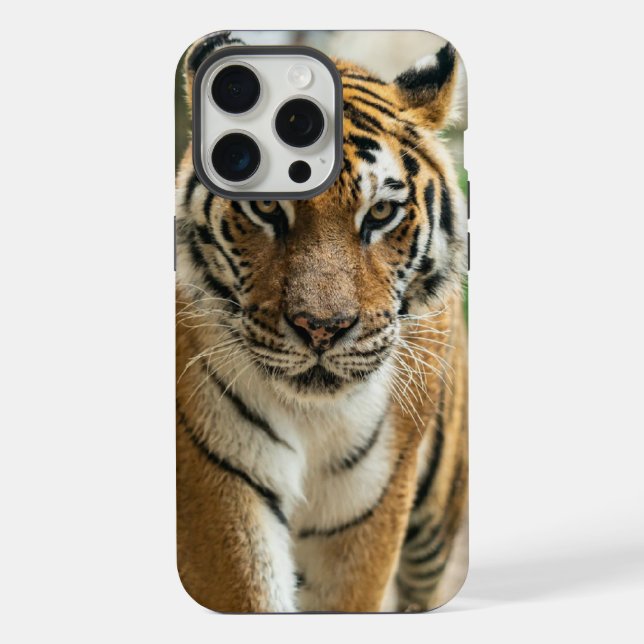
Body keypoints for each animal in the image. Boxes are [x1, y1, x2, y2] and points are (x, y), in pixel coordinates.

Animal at [175, 31, 468, 613]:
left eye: (380, 213)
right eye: (267, 205)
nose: (321, 328)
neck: (312, 416)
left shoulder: (366, 509)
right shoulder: (218, 482)